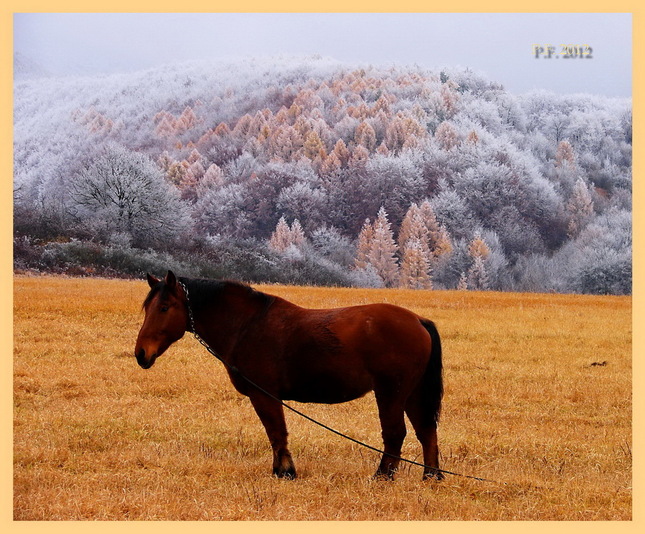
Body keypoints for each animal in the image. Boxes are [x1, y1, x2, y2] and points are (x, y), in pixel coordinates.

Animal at [133, 270, 440, 484]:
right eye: (147, 308)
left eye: (164, 307)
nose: (141, 353)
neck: (247, 325)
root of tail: (417, 320)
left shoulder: (264, 395)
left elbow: (276, 432)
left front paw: (285, 471)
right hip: (411, 394)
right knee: (426, 431)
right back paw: (431, 476)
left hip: (391, 393)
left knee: (395, 433)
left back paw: (382, 476)